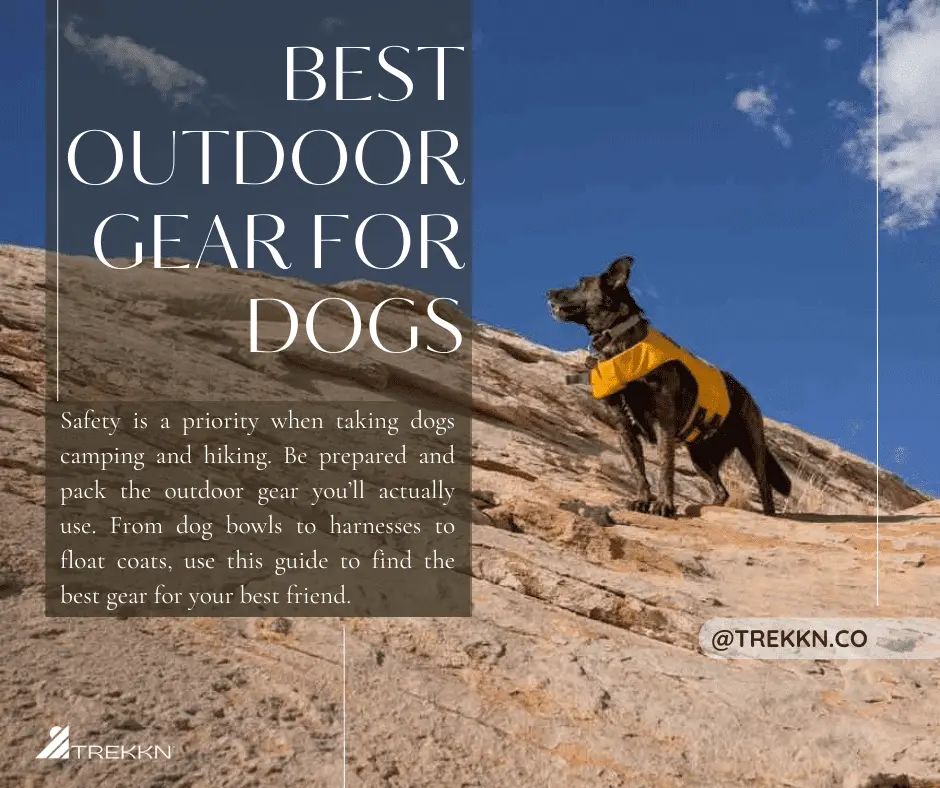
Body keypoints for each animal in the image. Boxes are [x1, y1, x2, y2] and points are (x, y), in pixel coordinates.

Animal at [548, 255, 788, 520]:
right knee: (721, 491)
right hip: (700, 457)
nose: (548, 292)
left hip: (752, 446)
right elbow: (638, 469)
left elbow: (665, 468)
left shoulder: (663, 423)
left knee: (764, 487)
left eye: (581, 282)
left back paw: (768, 514)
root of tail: (745, 392)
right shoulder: (624, 427)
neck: (620, 342)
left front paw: (664, 504)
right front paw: (643, 500)